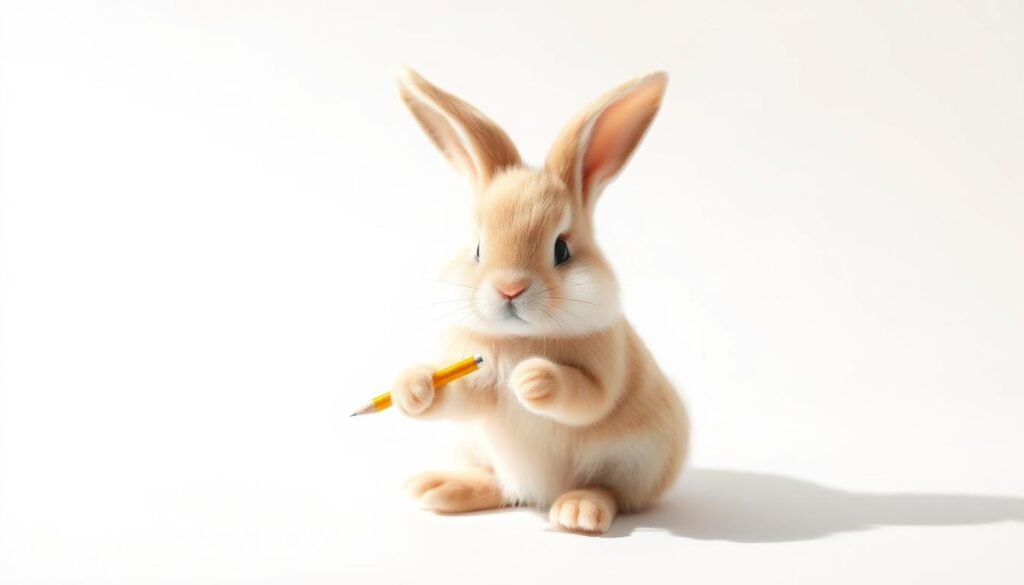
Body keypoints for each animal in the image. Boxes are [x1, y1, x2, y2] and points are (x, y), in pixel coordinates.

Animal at [390, 67, 689, 535]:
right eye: (478, 249)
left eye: (561, 250)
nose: (510, 288)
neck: (516, 340)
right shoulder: (472, 381)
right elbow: (457, 396)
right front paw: (411, 387)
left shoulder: (605, 370)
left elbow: (586, 397)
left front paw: (531, 378)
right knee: (502, 486)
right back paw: (440, 488)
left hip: (637, 459)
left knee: (613, 492)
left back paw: (579, 510)